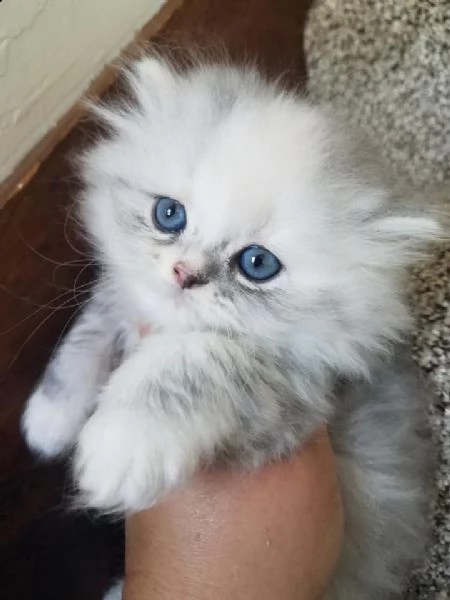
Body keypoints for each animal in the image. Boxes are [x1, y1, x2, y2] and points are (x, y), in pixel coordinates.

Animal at [22, 56, 442, 600]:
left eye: (257, 264)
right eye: (169, 214)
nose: (184, 274)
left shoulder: (297, 398)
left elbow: (193, 359)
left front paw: (120, 445)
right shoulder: (123, 298)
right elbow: (92, 327)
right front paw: (49, 420)